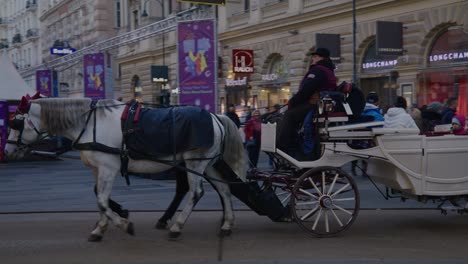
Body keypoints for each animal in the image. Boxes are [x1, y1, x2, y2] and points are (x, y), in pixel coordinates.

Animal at [5, 97, 247, 241]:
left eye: (15, 123)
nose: (6, 150)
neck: (90, 123)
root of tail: (215, 116)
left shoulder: (108, 168)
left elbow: (102, 200)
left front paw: (123, 224)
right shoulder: (98, 169)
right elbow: (99, 198)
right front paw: (101, 227)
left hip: (195, 162)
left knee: (196, 192)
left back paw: (177, 226)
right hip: (208, 164)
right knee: (224, 190)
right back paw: (226, 224)